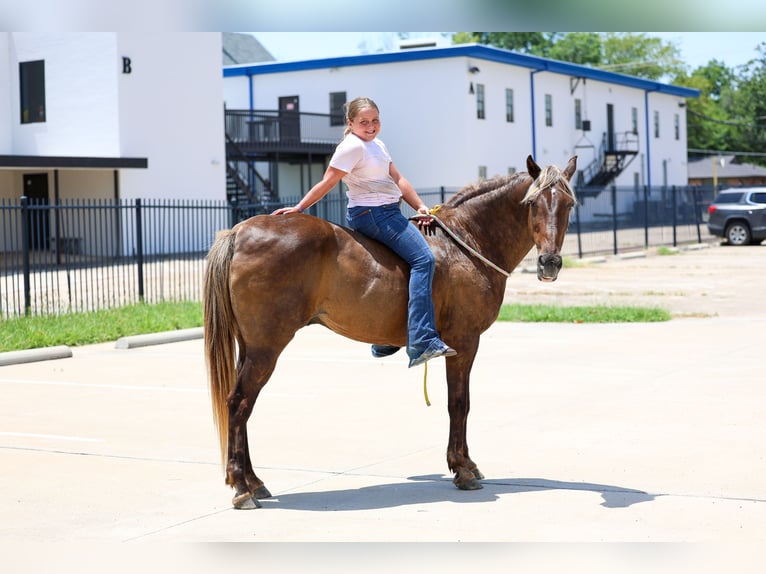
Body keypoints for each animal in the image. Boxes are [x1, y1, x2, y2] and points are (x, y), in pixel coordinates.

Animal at [203, 155, 577, 509]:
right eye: (533, 202)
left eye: (569, 204)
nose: (549, 264)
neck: (465, 242)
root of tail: (239, 232)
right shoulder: (465, 342)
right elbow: (459, 403)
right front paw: (463, 469)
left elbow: (461, 403)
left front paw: (467, 464)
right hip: (266, 347)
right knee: (238, 403)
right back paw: (241, 488)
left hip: (250, 346)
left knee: (243, 405)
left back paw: (253, 481)